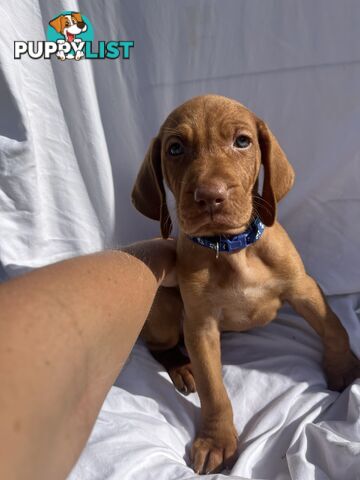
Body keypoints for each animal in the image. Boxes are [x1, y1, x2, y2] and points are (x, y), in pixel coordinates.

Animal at [132, 95, 360, 474]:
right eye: (175, 148)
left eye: (242, 141)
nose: (210, 196)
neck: (231, 249)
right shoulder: (200, 325)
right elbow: (213, 390)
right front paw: (216, 441)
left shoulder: (303, 287)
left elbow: (334, 327)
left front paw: (344, 369)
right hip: (164, 307)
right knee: (156, 345)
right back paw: (182, 366)